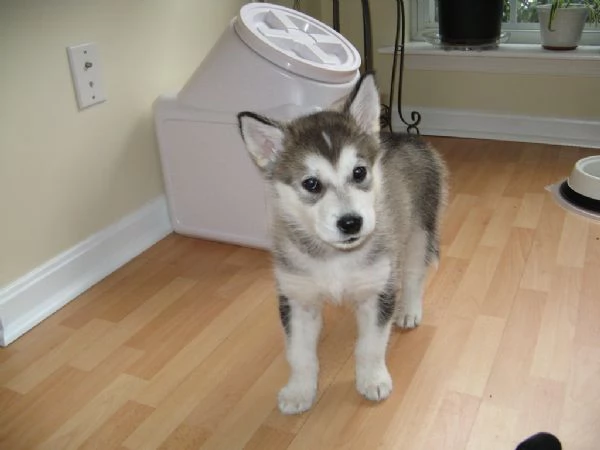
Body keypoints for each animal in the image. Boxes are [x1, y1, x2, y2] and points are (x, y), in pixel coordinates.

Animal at [237, 74, 448, 414]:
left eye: (359, 172)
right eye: (311, 184)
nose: (351, 223)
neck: (335, 257)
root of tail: (404, 136)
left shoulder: (377, 290)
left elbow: (371, 345)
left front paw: (373, 380)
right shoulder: (296, 297)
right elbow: (299, 354)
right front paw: (299, 391)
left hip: (420, 229)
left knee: (415, 273)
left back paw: (409, 310)